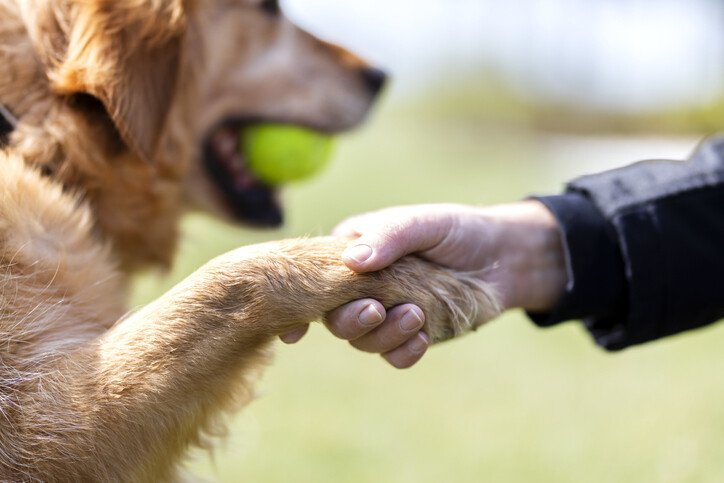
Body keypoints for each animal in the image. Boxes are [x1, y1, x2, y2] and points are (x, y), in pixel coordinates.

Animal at [0, 0, 498, 480]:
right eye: (268, 7)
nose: (380, 76)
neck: (33, 135)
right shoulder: (39, 426)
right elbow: (231, 279)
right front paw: (425, 279)